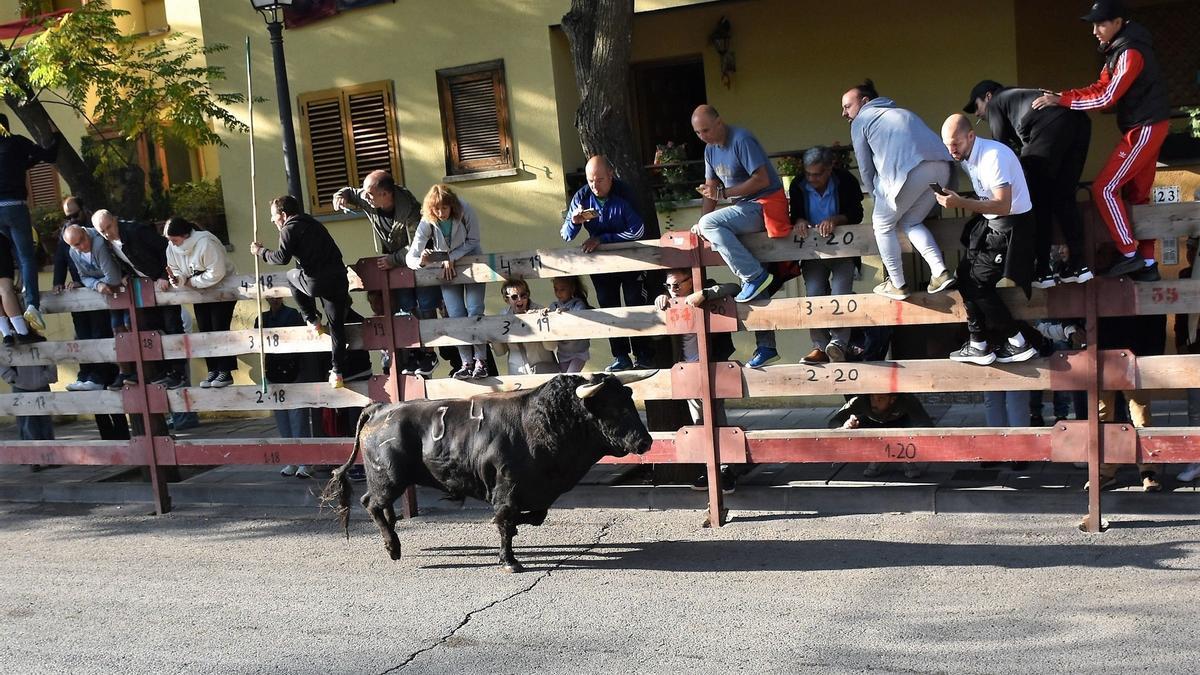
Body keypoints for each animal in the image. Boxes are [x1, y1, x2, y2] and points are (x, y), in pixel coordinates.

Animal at [319, 369, 652, 569]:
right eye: (613, 407)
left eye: (629, 401)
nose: (645, 441)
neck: (544, 422)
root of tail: (380, 409)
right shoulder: (507, 487)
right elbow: (505, 519)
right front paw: (509, 560)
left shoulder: (536, 492)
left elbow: (534, 517)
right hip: (388, 477)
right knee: (372, 504)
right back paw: (393, 547)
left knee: (377, 505)